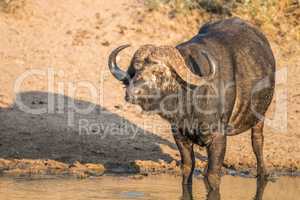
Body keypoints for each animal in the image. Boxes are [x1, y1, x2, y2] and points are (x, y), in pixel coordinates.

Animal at [109, 17, 276, 194]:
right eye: (135, 71)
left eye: (159, 72)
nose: (132, 93)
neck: (189, 106)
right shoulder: (179, 135)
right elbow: (188, 168)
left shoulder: (218, 136)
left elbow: (213, 174)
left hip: (259, 116)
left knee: (257, 142)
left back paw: (263, 173)